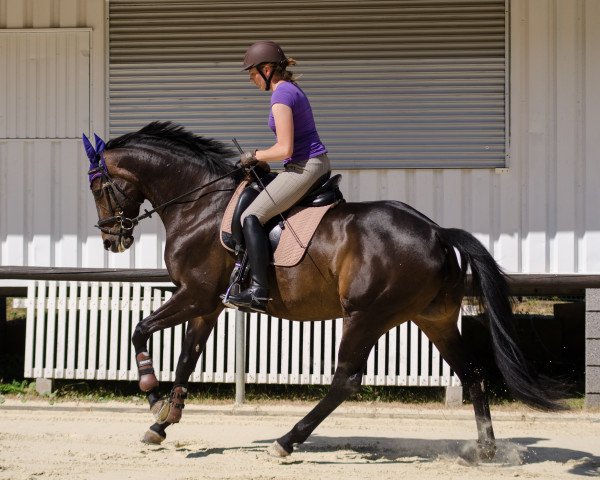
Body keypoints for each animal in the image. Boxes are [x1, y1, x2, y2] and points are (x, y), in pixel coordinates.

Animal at [84, 123, 564, 462]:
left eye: (97, 187)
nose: (111, 240)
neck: (198, 204)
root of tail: (437, 232)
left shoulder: (195, 295)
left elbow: (139, 330)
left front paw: (151, 396)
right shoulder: (206, 305)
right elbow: (187, 357)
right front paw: (164, 419)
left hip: (365, 315)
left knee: (345, 380)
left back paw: (286, 441)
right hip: (435, 320)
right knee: (473, 374)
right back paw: (485, 450)